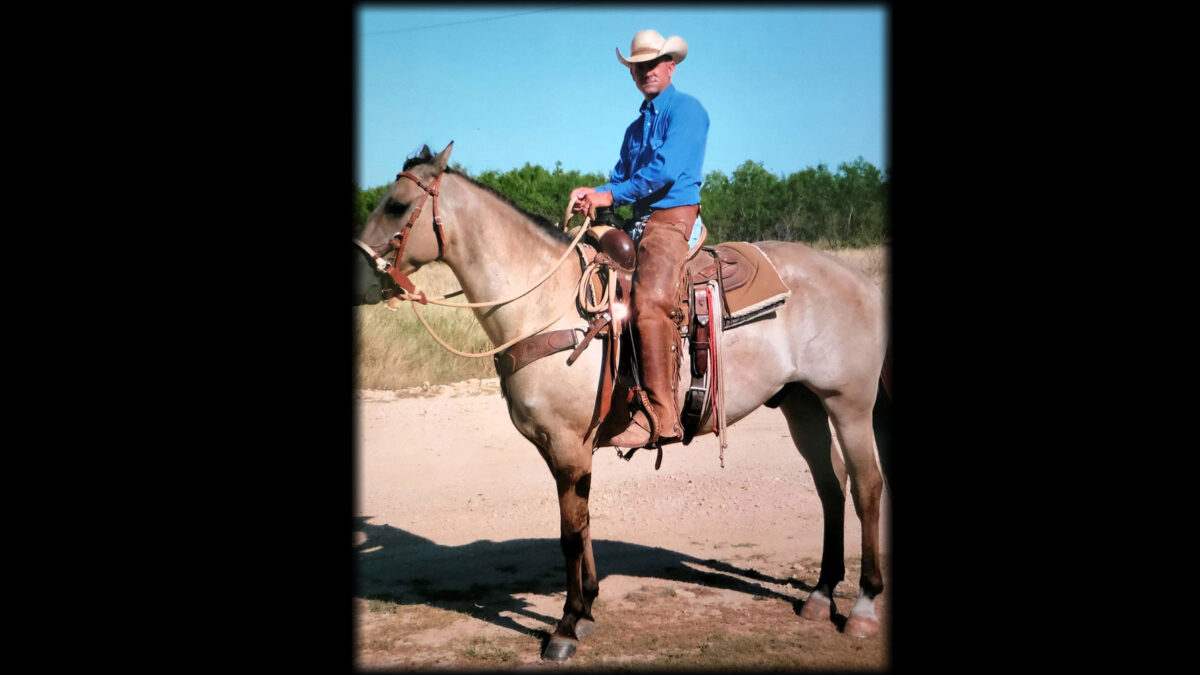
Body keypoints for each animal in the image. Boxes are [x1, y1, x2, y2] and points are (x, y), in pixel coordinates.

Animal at [353, 142, 891, 662]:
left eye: (396, 205)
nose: (358, 279)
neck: (544, 307)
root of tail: (860, 280)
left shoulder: (568, 445)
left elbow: (570, 534)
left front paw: (566, 626)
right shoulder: (562, 449)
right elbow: (584, 523)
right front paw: (587, 610)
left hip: (849, 404)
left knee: (866, 486)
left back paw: (863, 606)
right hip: (802, 402)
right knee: (830, 485)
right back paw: (821, 595)